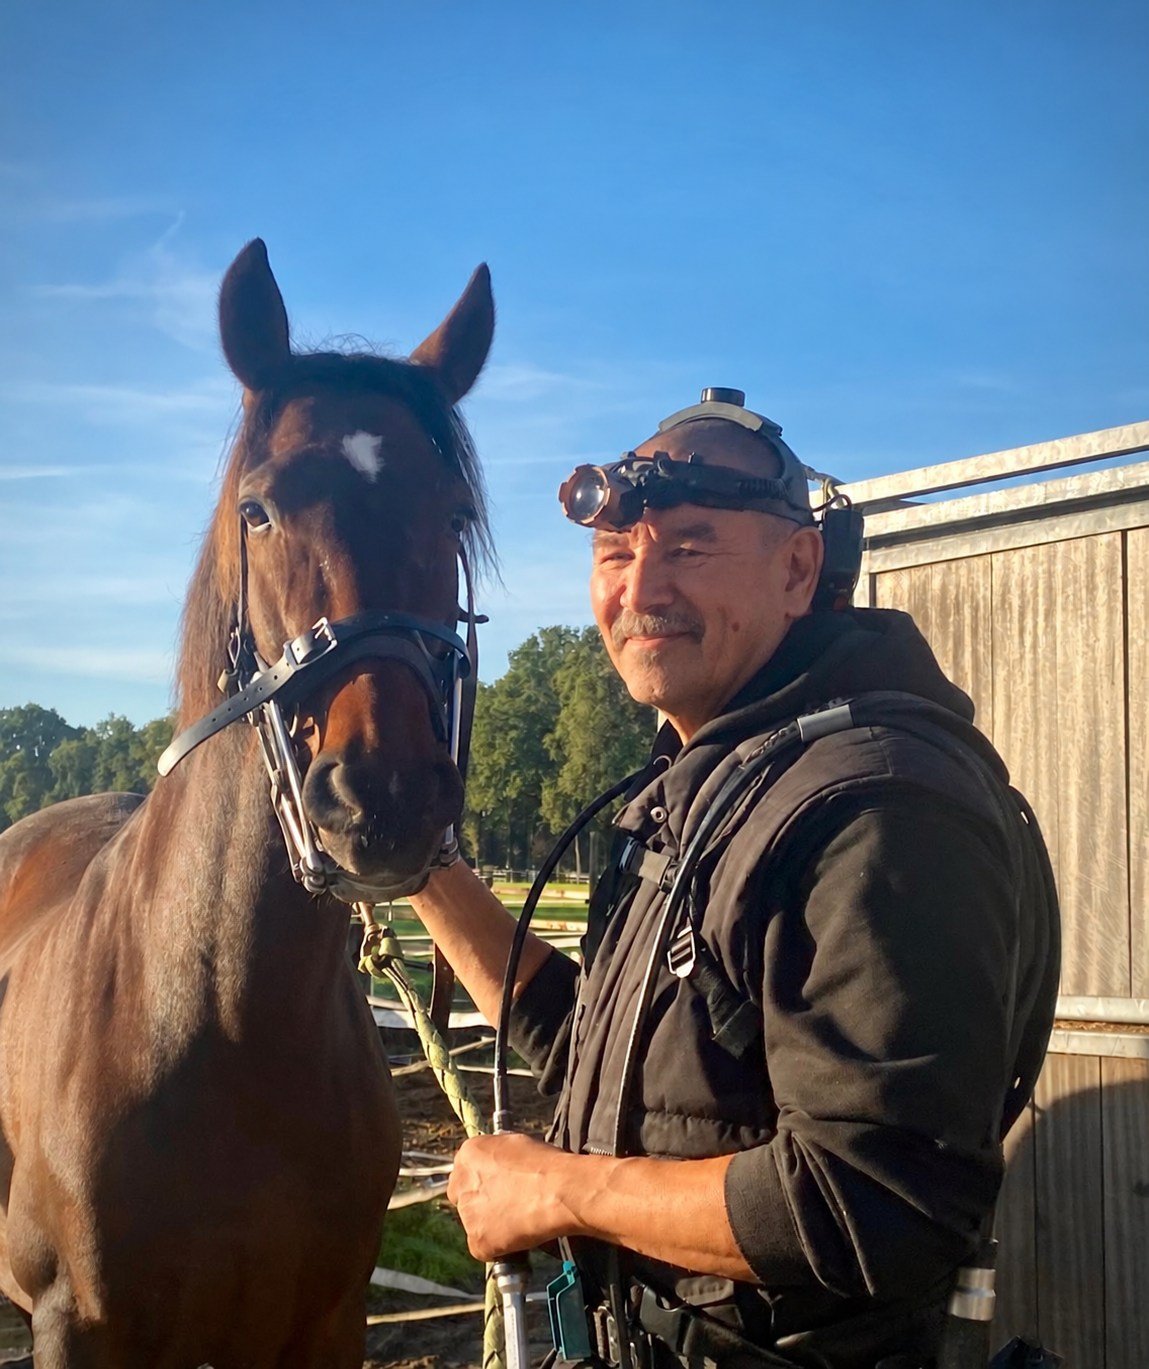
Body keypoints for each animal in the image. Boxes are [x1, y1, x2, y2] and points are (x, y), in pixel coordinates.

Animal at [0, 238, 494, 1367]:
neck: (224, 1025)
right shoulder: (74, 1328)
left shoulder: (323, 1322)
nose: (381, 793)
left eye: (452, 513)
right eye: (258, 510)